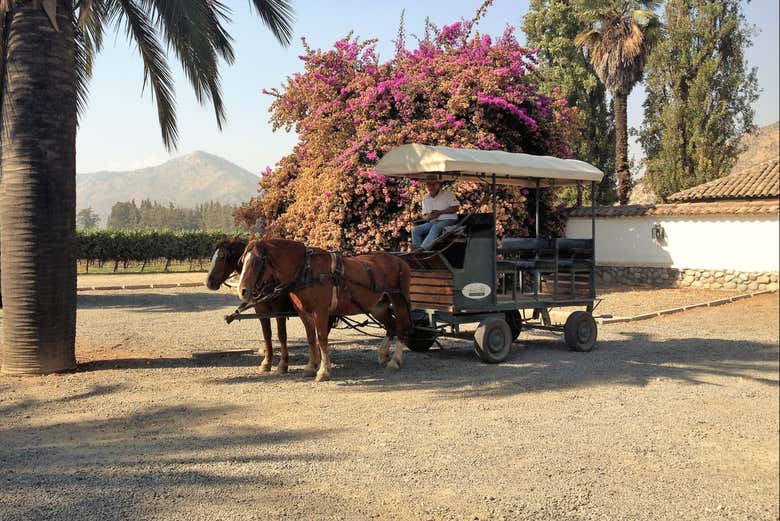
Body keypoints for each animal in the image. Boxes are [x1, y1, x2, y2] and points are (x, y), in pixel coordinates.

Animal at [207, 238, 310, 376]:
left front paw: (283, 364)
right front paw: (266, 363)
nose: (209, 282)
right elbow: (266, 335)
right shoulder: (261, 311)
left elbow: (282, 335)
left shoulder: (280, 312)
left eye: (222, 256)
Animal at [238, 240, 414, 382]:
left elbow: (322, 339)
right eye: (242, 261)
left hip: (399, 301)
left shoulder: (320, 312)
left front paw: (323, 371)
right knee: (391, 326)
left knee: (402, 326)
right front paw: (310, 366)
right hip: (378, 306)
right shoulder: (303, 313)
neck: (306, 270)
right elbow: (310, 338)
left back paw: (395, 361)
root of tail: (400, 261)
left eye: (256, 262)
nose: (242, 291)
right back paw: (383, 354)